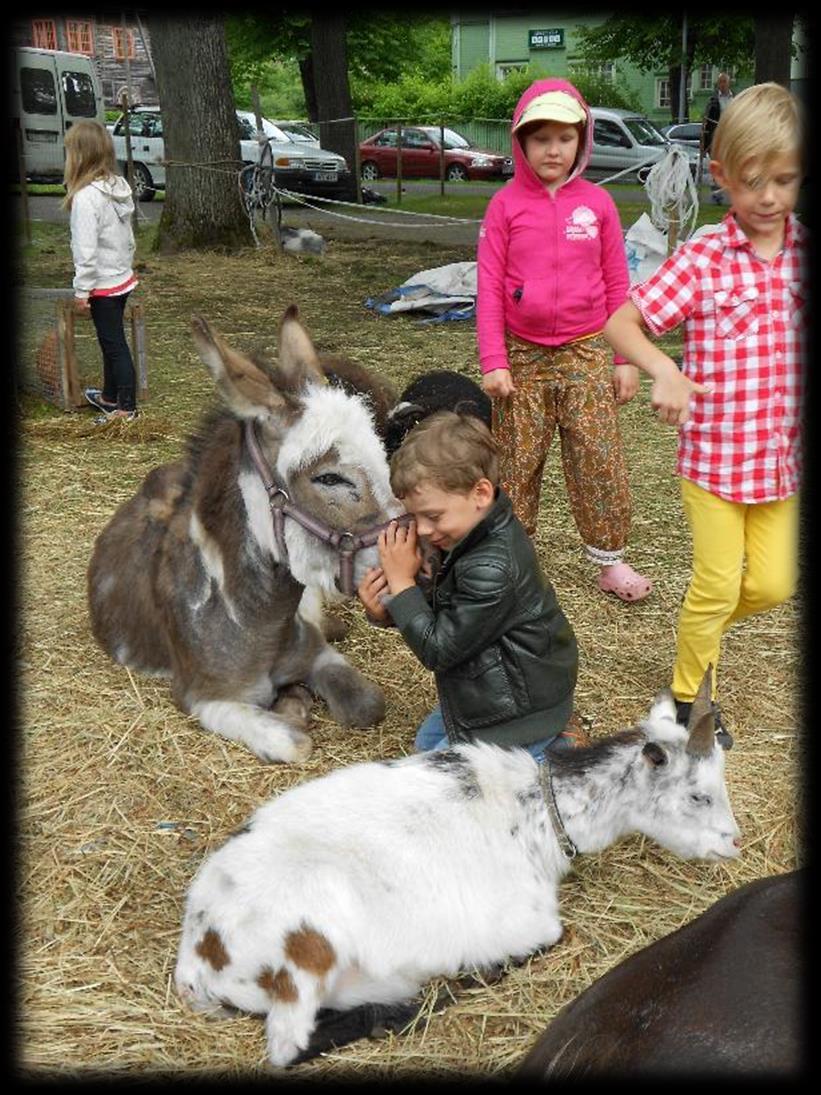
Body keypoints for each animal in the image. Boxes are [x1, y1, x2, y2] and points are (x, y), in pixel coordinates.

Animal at [174, 670, 739, 1064]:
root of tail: (197, 956)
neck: (536, 813)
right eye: (698, 795)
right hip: (307, 944)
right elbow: (550, 935)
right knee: (288, 1046)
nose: (733, 842)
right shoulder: (526, 920)